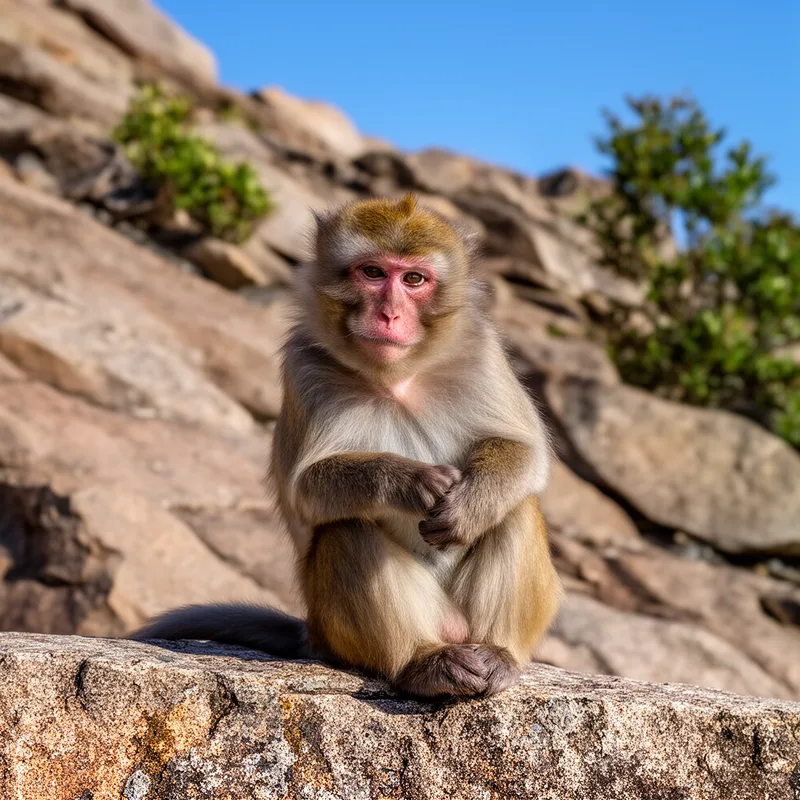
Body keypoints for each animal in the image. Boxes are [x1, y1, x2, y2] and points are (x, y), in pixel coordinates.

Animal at [134, 193, 561, 698]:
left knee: (515, 508)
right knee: (346, 527)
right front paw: (409, 481)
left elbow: (526, 452)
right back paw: (421, 662)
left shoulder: (482, 352)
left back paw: (495, 653)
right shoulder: (304, 367)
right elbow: (305, 489)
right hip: (341, 630)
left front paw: (470, 502)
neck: (395, 378)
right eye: (372, 273)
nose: (390, 315)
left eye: (413, 279)